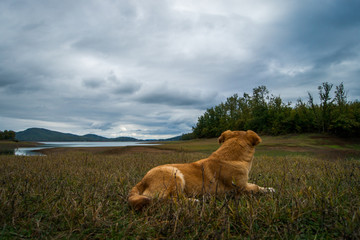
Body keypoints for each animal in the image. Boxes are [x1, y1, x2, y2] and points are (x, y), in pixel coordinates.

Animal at [128, 129, 274, 210]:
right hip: (175, 174)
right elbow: (256, 187)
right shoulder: (241, 188)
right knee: (167, 200)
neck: (230, 156)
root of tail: (142, 181)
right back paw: (194, 201)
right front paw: (268, 189)